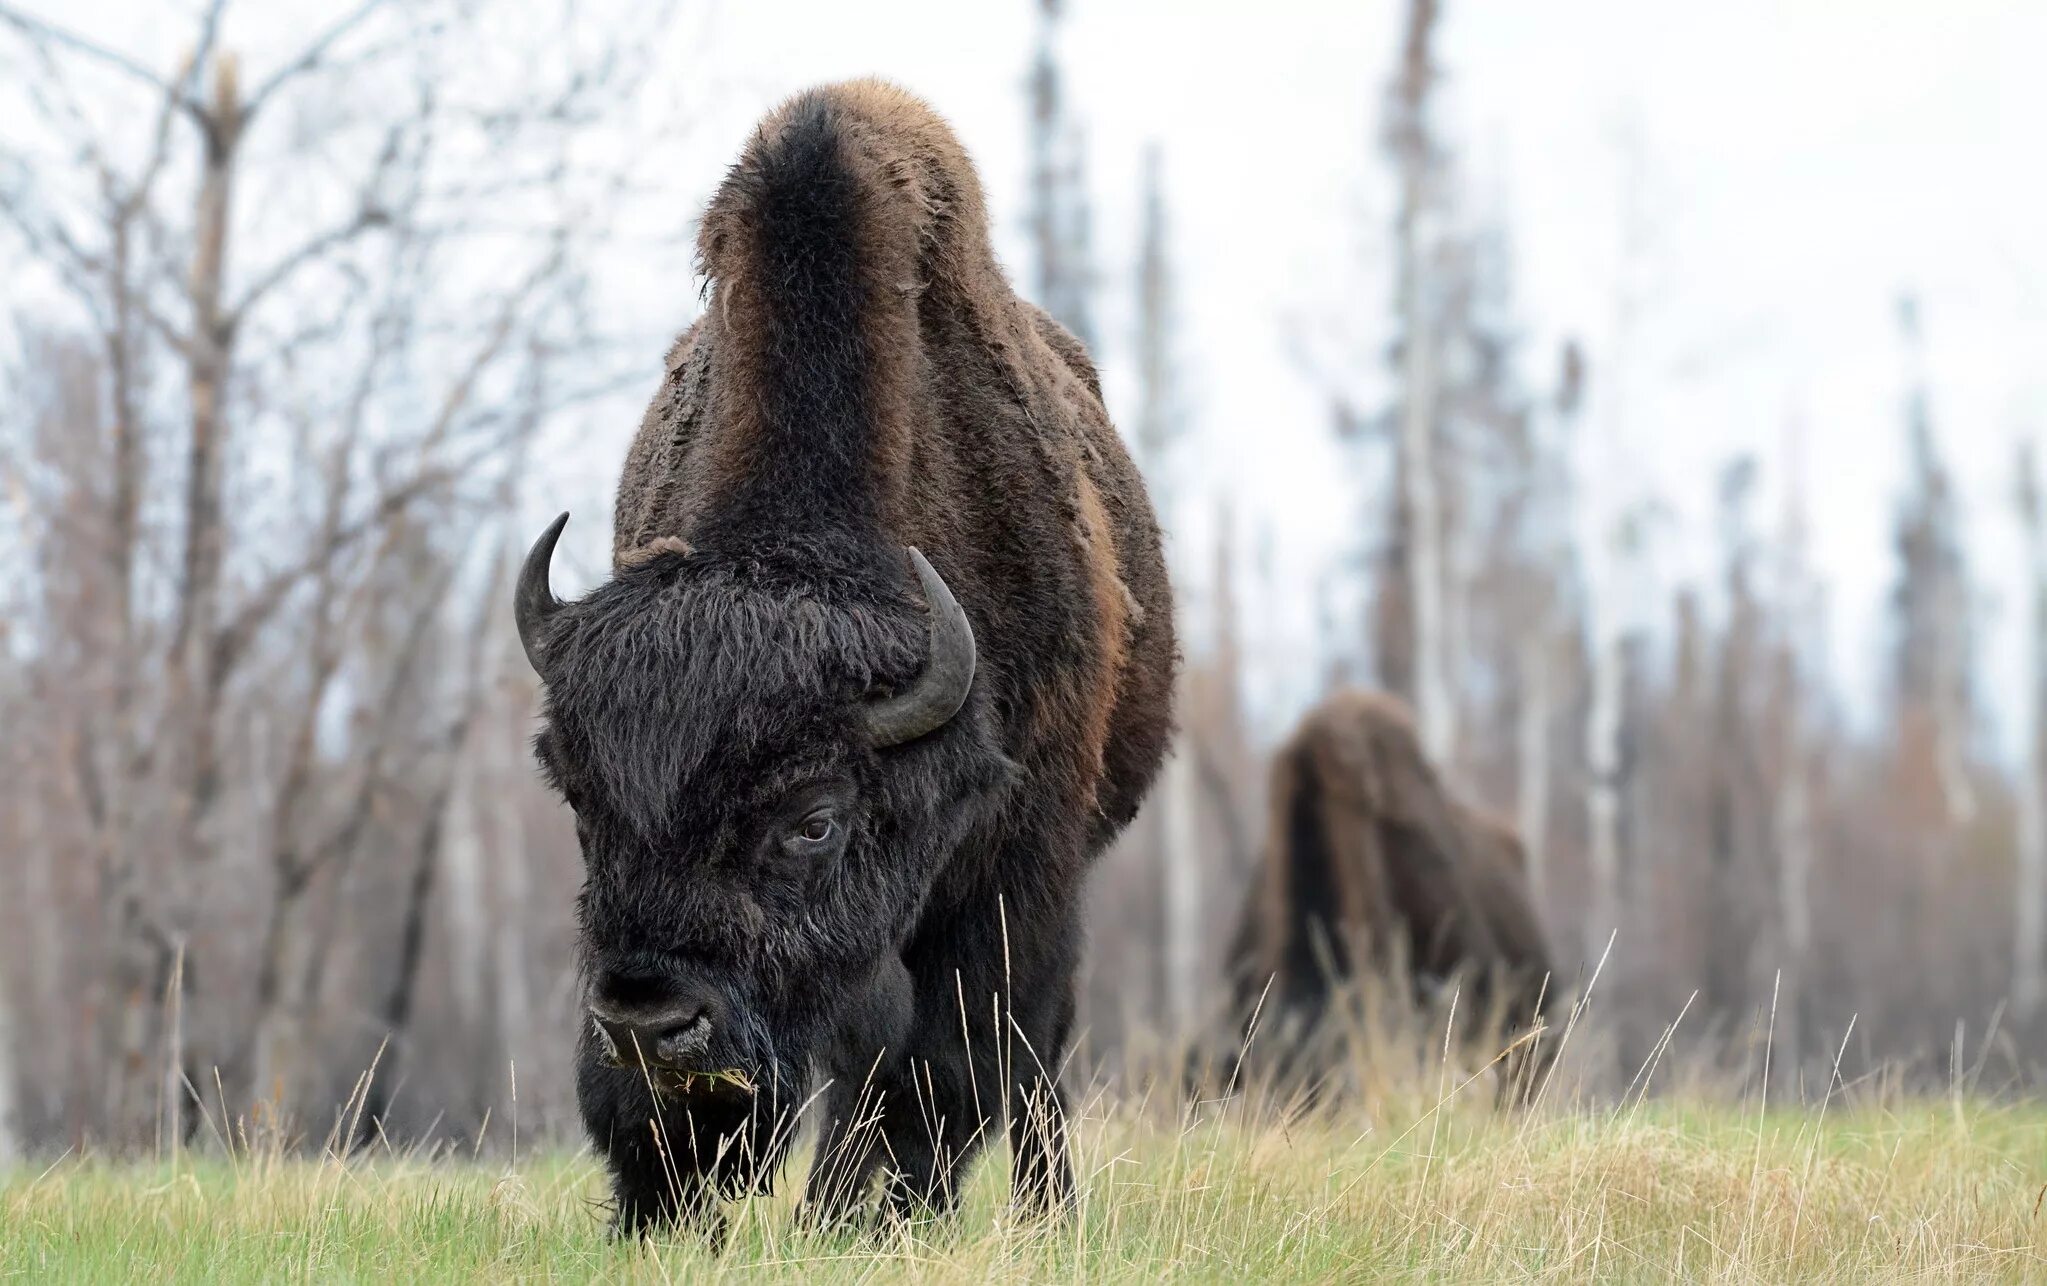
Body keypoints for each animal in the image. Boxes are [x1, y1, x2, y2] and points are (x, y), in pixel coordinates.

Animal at [511, 82, 1179, 1236]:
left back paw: (1036, 1213)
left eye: (814, 820)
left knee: (1025, 1064)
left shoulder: (1015, 865)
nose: (651, 1018)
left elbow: (954, 1056)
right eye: (581, 802)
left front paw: (877, 1219)